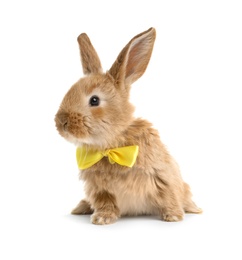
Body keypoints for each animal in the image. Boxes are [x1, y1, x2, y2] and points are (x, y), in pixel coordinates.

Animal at [55, 27, 202, 224]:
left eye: (94, 100)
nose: (62, 122)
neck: (111, 146)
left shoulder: (162, 176)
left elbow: (168, 195)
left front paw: (173, 216)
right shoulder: (100, 190)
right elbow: (105, 203)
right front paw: (102, 219)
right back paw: (80, 208)